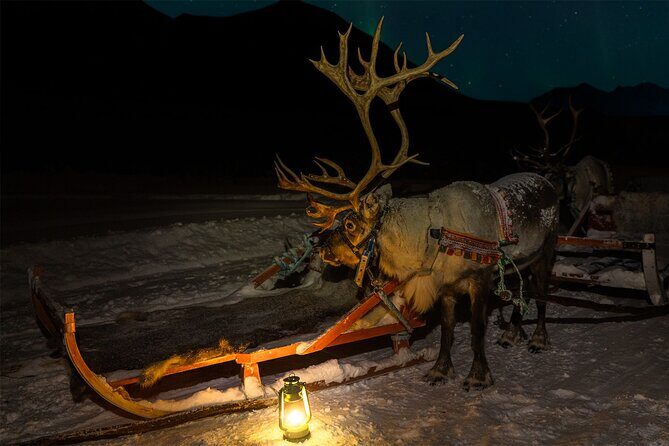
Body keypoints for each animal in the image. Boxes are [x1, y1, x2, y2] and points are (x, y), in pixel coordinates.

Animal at [275, 18, 560, 390]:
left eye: (349, 223)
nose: (320, 247)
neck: (431, 236)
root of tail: (548, 181)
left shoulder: (479, 280)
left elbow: (476, 330)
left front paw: (478, 375)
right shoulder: (446, 286)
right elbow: (448, 330)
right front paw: (440, 370)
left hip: (547, 251)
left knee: (540, 294)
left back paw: (538, 338)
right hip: (519, 262)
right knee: (519, 292)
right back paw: (512, 333)